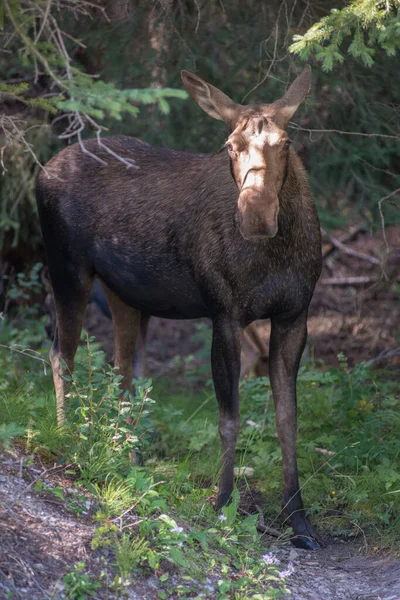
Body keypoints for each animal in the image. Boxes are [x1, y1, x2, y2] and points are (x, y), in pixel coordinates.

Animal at [35, 65, 322, 548]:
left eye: (285, 141)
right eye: (230, 145)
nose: (257, 214)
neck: (277, 255)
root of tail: (45, 169)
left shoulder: (294, 315)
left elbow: (289, 419)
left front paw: (299, 521)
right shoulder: (224, 313)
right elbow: (229, 417)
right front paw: (222, 505)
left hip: (124, 294)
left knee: (120, 369)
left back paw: (126, 456)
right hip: (66, 268)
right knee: (62, 356)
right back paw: (68, 438)